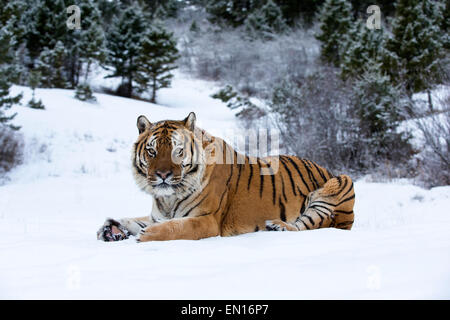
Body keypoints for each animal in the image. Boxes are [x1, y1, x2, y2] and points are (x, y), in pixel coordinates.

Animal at [97, 112, 356, 242]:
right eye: (151, 151)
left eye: (177, 151)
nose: (162, 175)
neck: (168, 198)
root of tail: (327, 169)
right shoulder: (157, 215)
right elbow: (134, 219)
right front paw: (112, 229)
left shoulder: (207, 220)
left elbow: (175, 228)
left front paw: (148, 234)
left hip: (339, 185)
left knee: (307, 226)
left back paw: (278, 226)